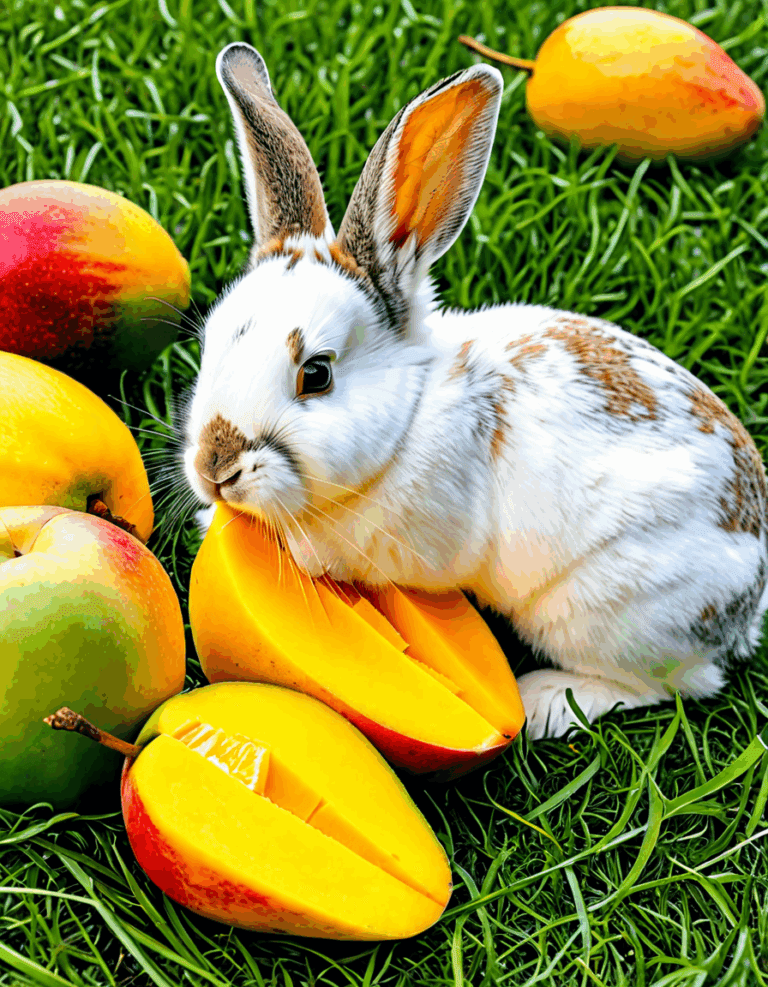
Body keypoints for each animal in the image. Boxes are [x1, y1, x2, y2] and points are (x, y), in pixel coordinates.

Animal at [182, 42, 768, 740]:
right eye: (211, 342)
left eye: (316, 373)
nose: (215, 469)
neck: (408, 415)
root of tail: (748, 603)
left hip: (606, 612)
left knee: (670, 685)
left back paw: (547, 701)